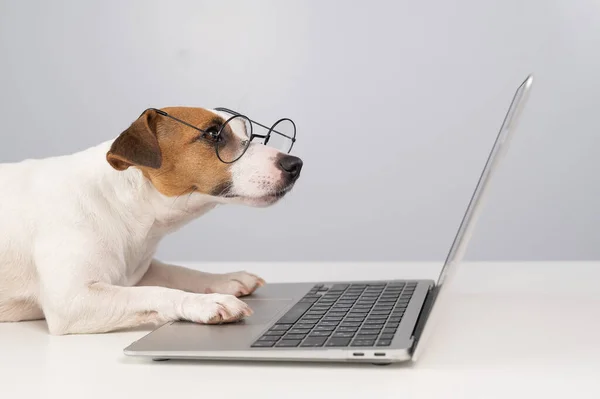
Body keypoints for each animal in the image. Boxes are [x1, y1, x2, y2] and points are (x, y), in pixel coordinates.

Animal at [0, 106, 302, 334]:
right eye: (213, 133)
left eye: (247, 132)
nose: (295, 164)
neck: (117, 201)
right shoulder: (72, 301)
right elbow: (154, 292)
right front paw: (206, 302)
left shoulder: (138, 268)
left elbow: (175, 271)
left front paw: (225, 278)